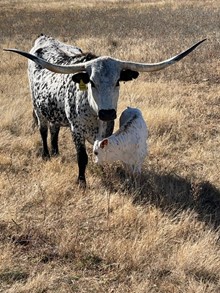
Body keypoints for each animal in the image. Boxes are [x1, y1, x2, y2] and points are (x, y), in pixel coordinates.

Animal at [4, 33, 205, 185]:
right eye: (91, 82)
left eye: (118, 81)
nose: (107, 112)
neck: (92, 111)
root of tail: (44, 37)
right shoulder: (76, 130)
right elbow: (82, 157)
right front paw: (82, 182)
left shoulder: (106, 128)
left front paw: (102, 171)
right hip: (38, 108)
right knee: (44, 130)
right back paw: (46, 154)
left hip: (54, 111)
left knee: (54, 130)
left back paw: (55, 152)